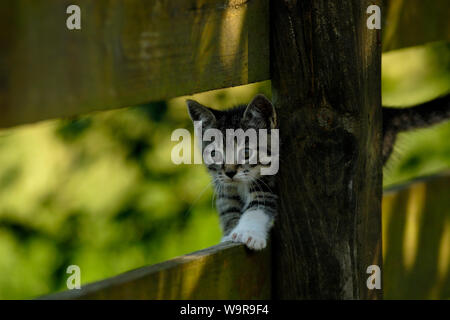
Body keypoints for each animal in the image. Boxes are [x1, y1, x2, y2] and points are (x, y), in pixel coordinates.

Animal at [187, 92, 450, 250]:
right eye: (215, 153)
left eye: (246, 151)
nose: (230, 172)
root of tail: (385, 111)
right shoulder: (223, 187)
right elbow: (228, 209)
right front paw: (230, 234)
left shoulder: (273, 180)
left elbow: (259, 203)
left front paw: (249, 233)